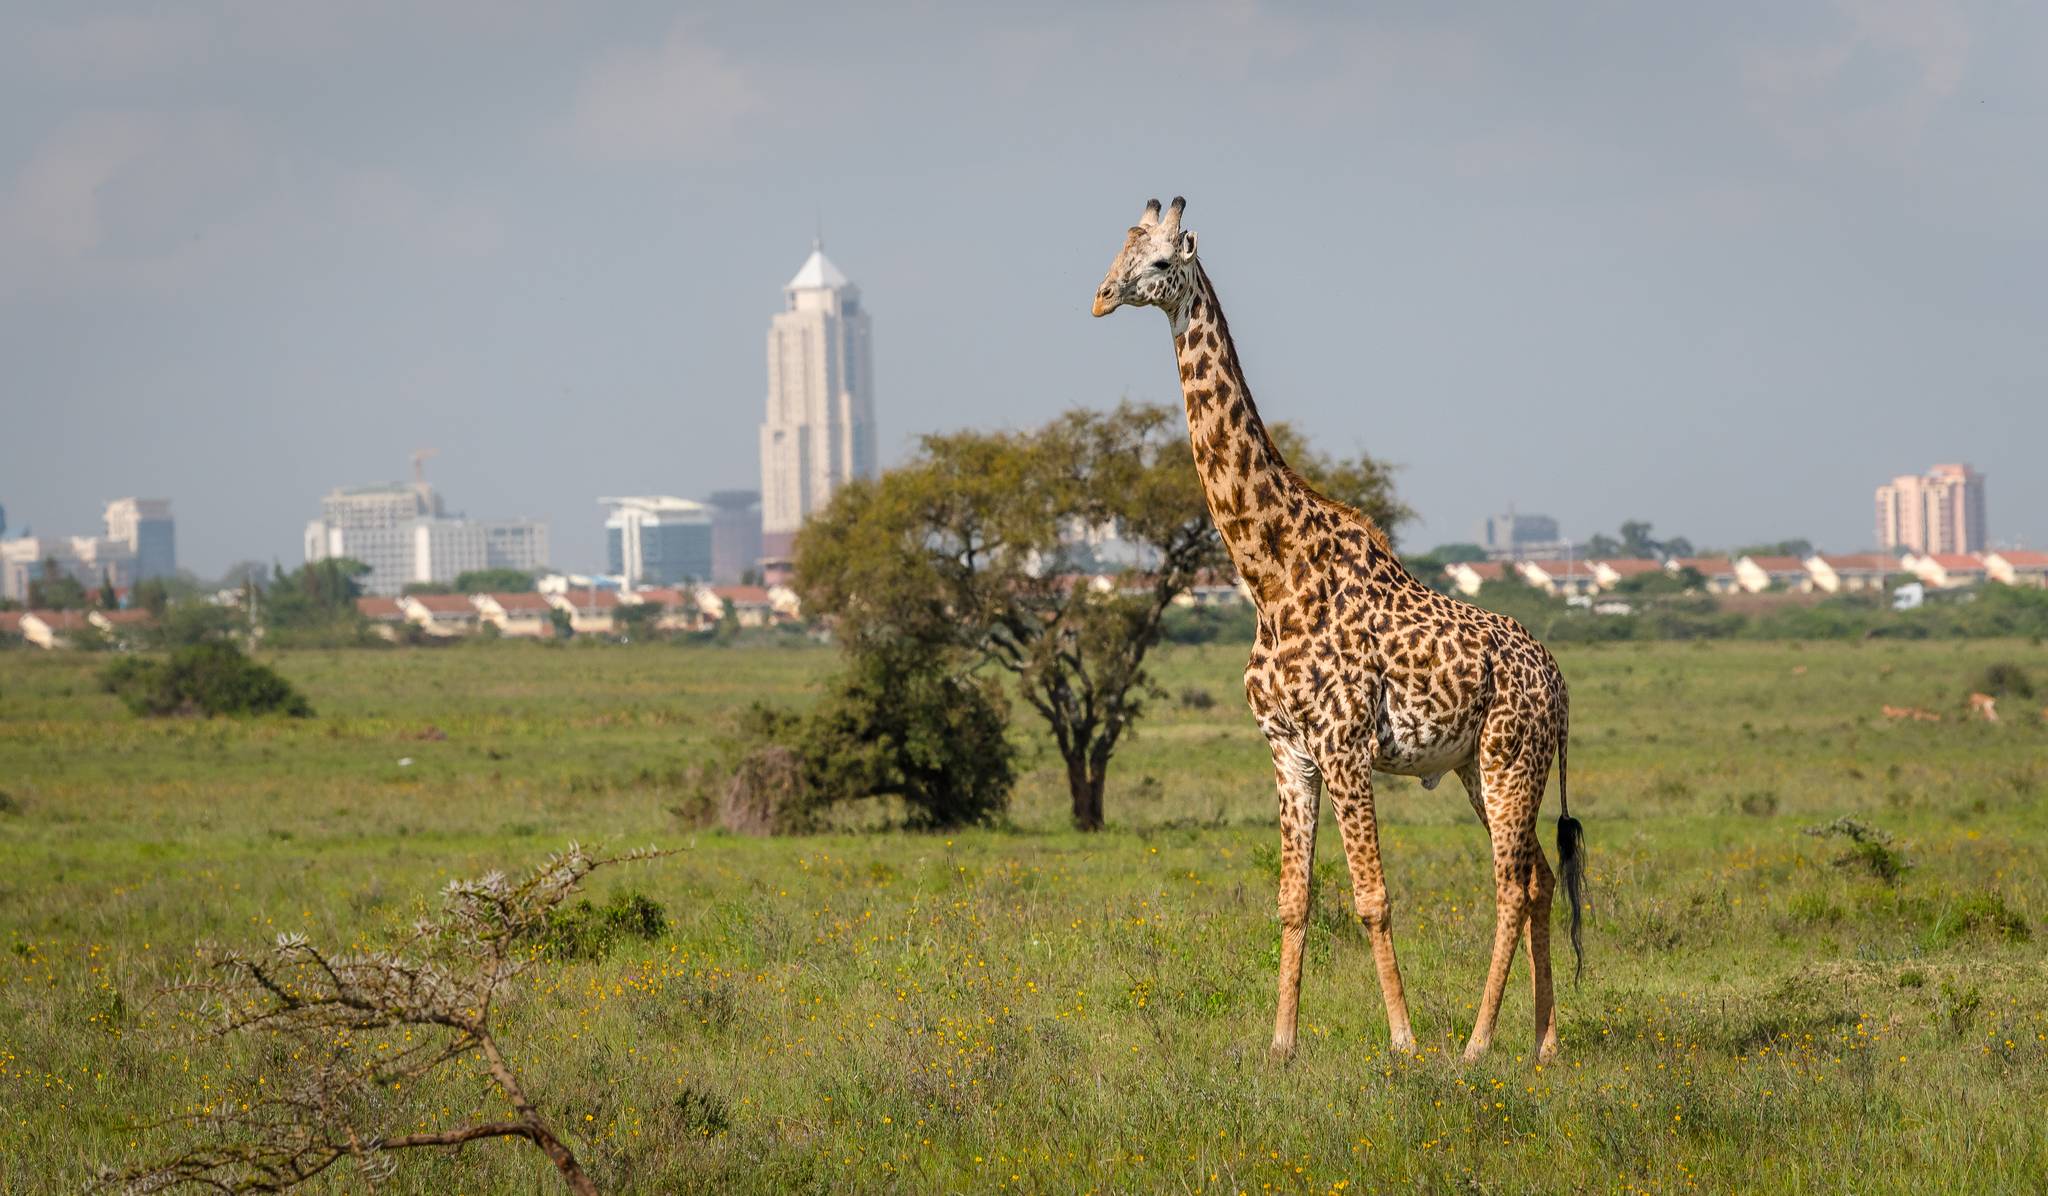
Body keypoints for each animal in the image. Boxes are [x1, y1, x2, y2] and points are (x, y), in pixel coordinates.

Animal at [1092, 196, 1585, 1063]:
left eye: (1159, 261)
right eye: (1119, 250)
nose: (1101, 297)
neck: (1270, 572)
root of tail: (1558, 685)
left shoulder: (1345, 744)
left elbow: (1372, 897)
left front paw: (1404, 1043)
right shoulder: (1288, 749)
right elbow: (1293, 900)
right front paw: (1281, 1045)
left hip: (1510, 757)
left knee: (1509, 885)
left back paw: (1476, 1045)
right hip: (1476, 766)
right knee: (1540, 880)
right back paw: (1544, 1043)